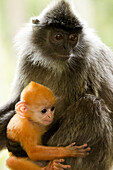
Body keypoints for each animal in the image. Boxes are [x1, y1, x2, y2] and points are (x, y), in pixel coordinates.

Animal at [0, 0, 113, 169]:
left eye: (73, 38)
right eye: (58, 36)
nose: (66, 48)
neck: (56, 64)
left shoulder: (88, 61)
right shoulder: (28, 60)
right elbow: (18, 102)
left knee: (90, 106)